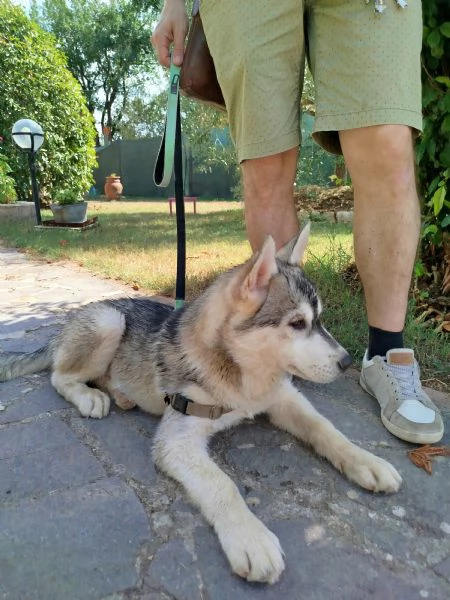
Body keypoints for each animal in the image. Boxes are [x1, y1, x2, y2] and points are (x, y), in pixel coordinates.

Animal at [0, 226, 400, 584]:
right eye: (297, 323)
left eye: (319, 320)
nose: (347, 362)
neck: (243, 375)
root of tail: (69, 323)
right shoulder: (177, 438)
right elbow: (221, 483)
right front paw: (250, 537)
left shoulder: (283, 397)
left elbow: (326, 428)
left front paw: (368, 461)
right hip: (107, 322)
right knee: (59, 376)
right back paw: (90, 396)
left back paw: (121, 393)